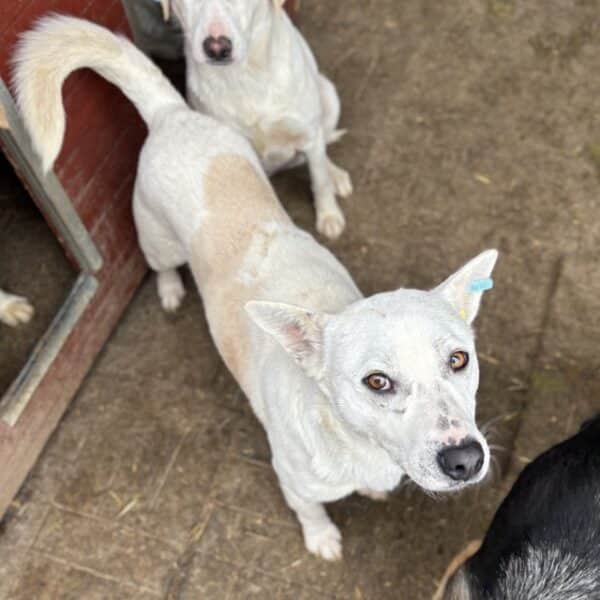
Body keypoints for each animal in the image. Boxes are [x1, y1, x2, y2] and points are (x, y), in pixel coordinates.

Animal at [159, 0, 352, 239]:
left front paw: (329, 215)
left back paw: (336, 174)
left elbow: (320, 180)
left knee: (322, 150)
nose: (217, 48)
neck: (246, 77)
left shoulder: (308, 135)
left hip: (329, 97)